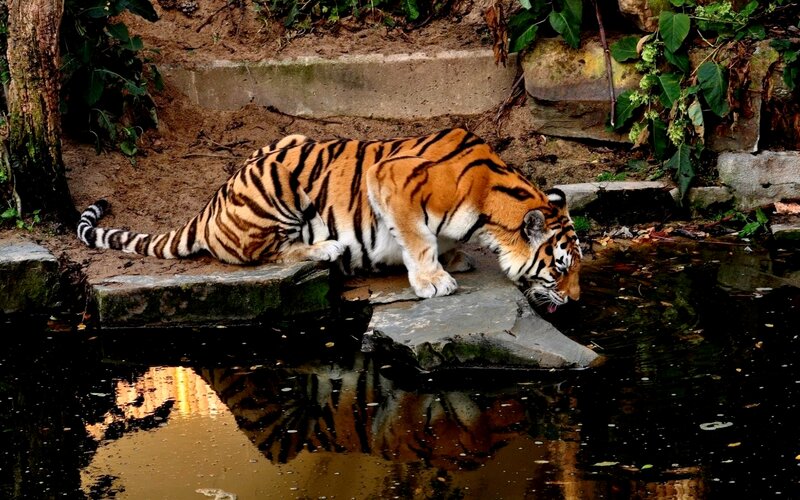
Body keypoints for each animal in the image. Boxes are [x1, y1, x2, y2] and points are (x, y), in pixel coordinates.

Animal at [77, 128, 581, 306]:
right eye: (559, 270)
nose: (575, 301)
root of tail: (210, 204)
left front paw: (453, 258)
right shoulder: (391, 179)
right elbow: (418, 239)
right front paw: (434, 279)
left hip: (288, 141)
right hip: (276, 182)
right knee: (262, 254)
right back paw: (326, 247)